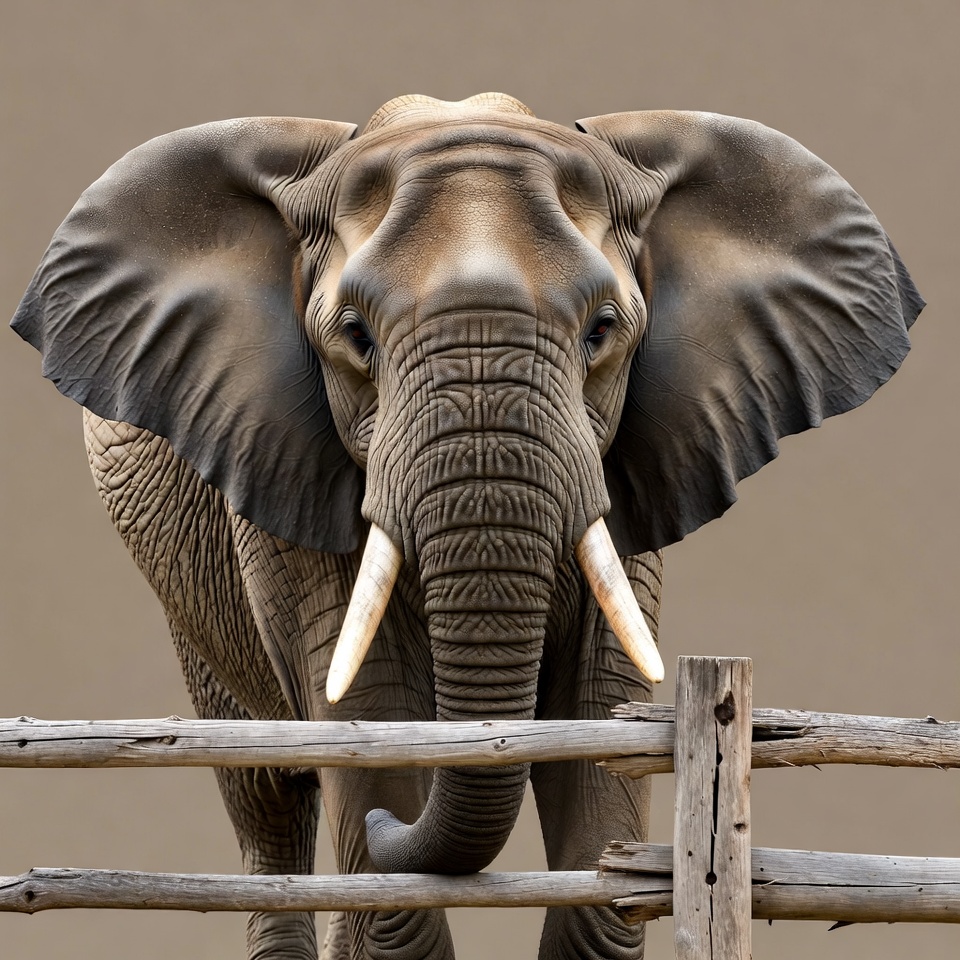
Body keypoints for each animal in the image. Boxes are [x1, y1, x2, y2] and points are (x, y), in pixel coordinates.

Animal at [12, 92, 921, 959]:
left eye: (603, 331)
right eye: (355, 337)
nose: (387, 831)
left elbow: (599, 727)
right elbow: (366, 730)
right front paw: (382, 815)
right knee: (268, 806)